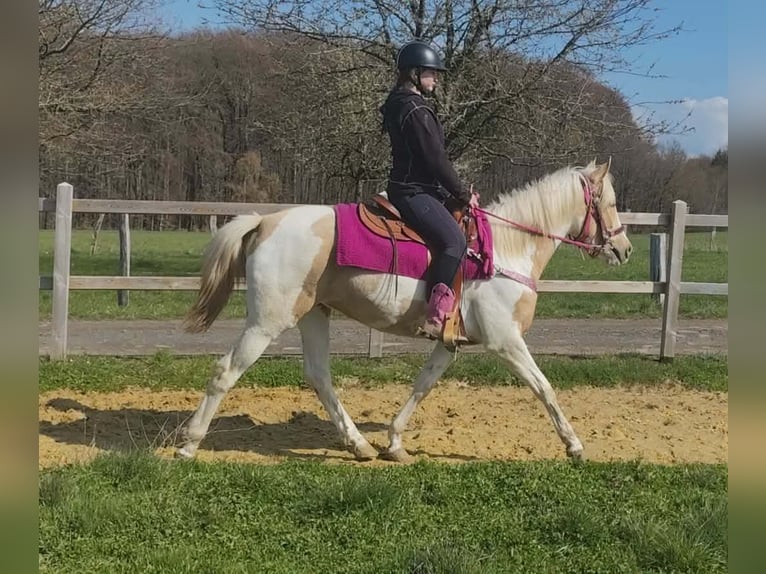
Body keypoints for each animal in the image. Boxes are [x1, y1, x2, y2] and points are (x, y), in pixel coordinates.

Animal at [177, 160, 633, 463]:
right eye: (609, 202)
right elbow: (545, 388)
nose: (625, 249)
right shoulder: (506, 342)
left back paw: (359, 445)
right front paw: (574, 446)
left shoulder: (450, 344)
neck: (503, 250)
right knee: (226, 371)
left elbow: (422, 385)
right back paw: (189, 443)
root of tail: (266, 222)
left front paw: (394, 442)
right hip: (267, 322)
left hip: (314, 315)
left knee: (319, 377)